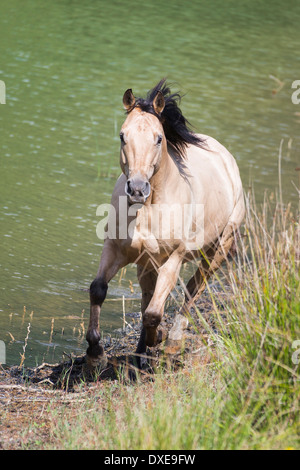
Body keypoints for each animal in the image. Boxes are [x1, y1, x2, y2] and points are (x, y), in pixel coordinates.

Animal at [85, 79, 245, 370]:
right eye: (122, 136)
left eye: (159, 138)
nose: (137, 189)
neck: (147, 209)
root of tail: (225, 157)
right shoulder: (115, 249)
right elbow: (98, 290)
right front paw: (95, 353)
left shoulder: (174, 259)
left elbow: (153, 314)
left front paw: (156, 338)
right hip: (147, 262)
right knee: (149, 296)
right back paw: (140, 353)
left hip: (217, 250)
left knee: (193, 290)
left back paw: (171, 342)